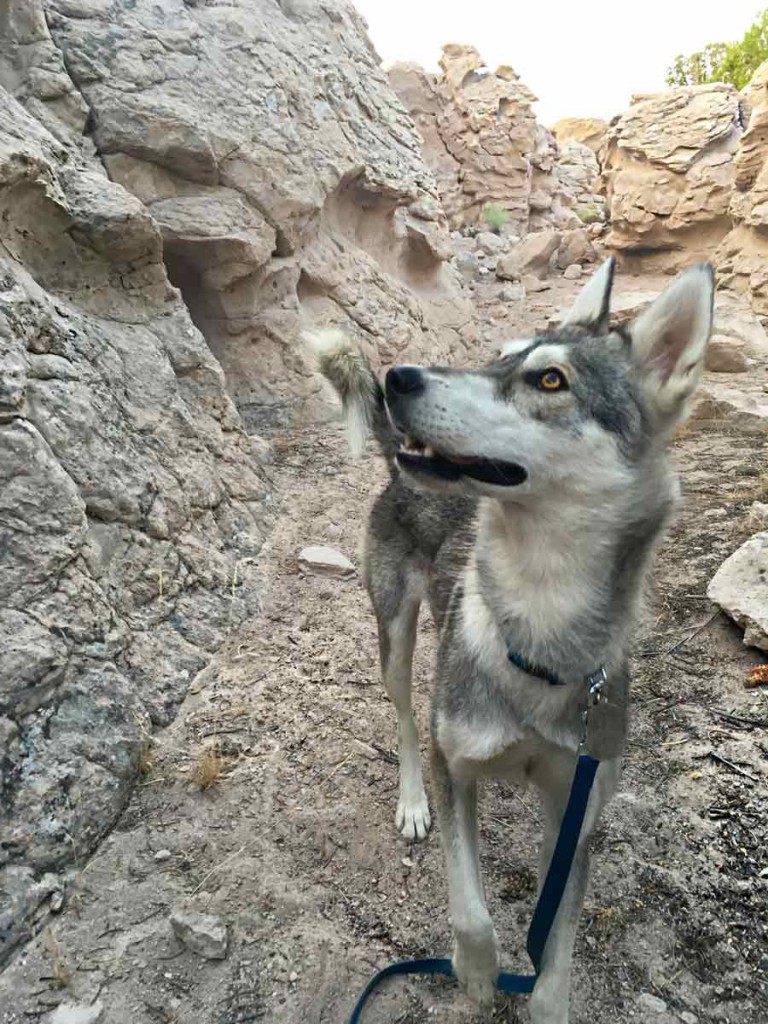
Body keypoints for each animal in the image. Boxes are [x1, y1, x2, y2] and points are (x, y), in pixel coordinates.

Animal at [307, 258, 716, 1024]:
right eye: (497, 357)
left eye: (549, 380)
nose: (399, 377)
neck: (538, 629)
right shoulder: (457, 764)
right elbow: (470, 906)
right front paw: (474, 971)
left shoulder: (576, 811)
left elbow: (557, 952)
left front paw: (544, 1000)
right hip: (395, 637)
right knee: (405, 720)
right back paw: (411, 803)